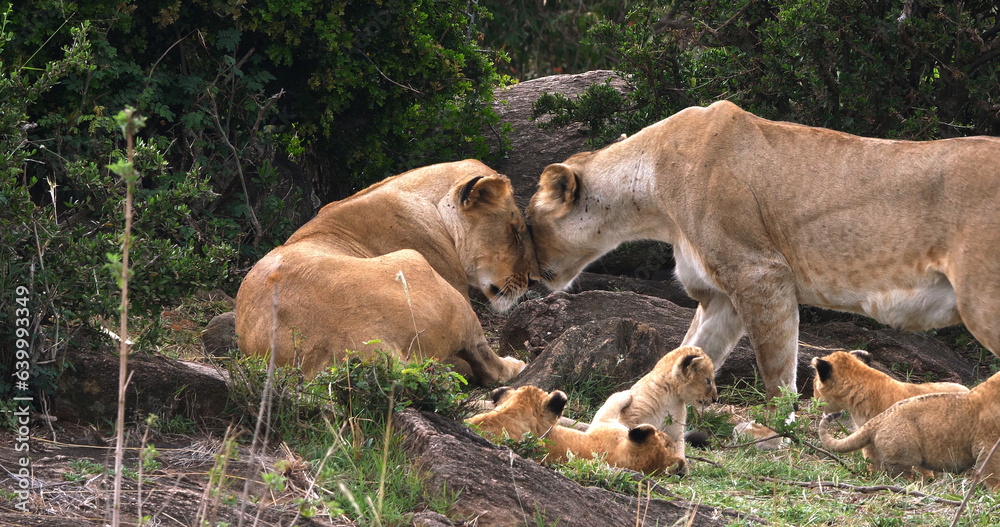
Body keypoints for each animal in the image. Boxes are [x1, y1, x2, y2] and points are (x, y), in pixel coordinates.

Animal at [236, 160, 536, 383]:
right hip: (419, 267)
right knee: (487, 364)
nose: (532, 280)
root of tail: (365, 344)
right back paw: (514, 364)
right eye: (515, 232)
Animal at [526, 100, 1000, 400]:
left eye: (526, 224)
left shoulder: (761, 273)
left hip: (984, 302)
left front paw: (782, 432)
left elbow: (776, 370)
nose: (529, 277)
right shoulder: (720, 298)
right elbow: (685, 352)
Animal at [818, 371, 1000, 488]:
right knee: (901, 476)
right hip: (903, 454)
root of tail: (879, 419)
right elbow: (992, 474)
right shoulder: (987, 446)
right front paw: (995, 494)